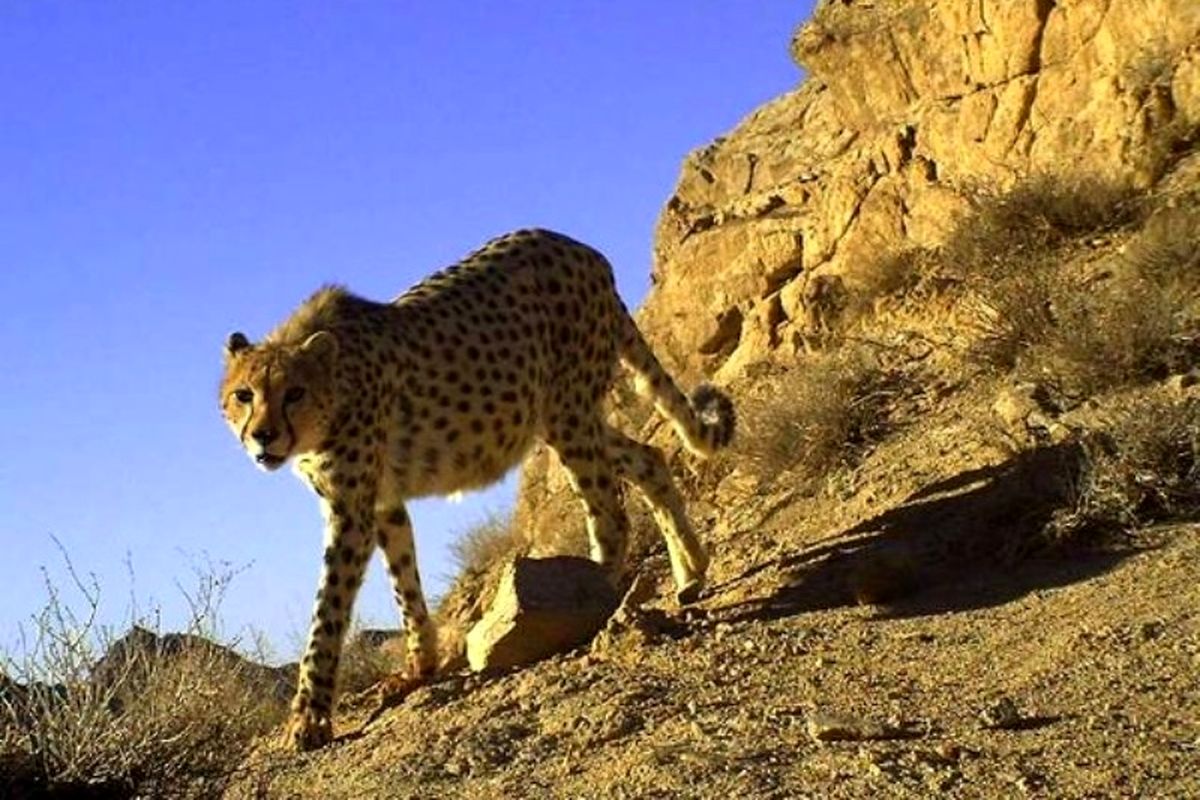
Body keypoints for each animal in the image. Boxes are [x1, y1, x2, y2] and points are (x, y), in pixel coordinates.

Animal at [220, 226, 734, 753]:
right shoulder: (383, 502)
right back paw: (690, 574)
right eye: (244, 395)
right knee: (649, 458)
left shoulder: (351, 509)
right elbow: (404, 582)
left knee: (609, 510)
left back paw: (598, 596)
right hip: (562, 416)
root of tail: (584, 249)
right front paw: (418, 667)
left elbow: (327, 610)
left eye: (294, 393)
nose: (262, 436)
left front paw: (310, 717)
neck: (333, 387)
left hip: (567, 413)